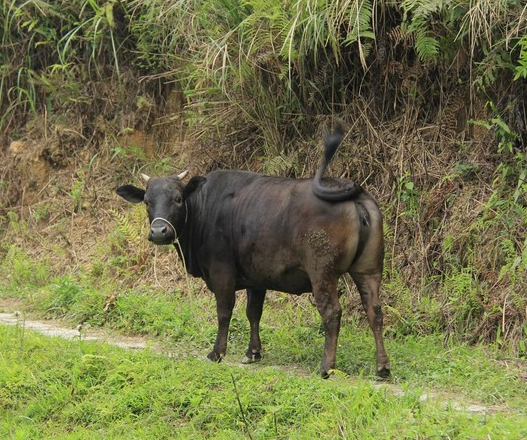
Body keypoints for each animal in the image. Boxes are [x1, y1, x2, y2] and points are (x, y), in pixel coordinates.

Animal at [118, 126, 392, 378]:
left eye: (177, 199)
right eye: (147, 202)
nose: (159, 231)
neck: (204, 209)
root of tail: (355, 193)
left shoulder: (221, 272)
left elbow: (224, 311)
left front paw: (217, 352)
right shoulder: (257, 278)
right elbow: (254, 313)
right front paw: (253, 352)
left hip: (322, 272)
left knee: (332, 313)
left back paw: (326, 366)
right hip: (369, 269)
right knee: (375, 311)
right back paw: (382, 367)